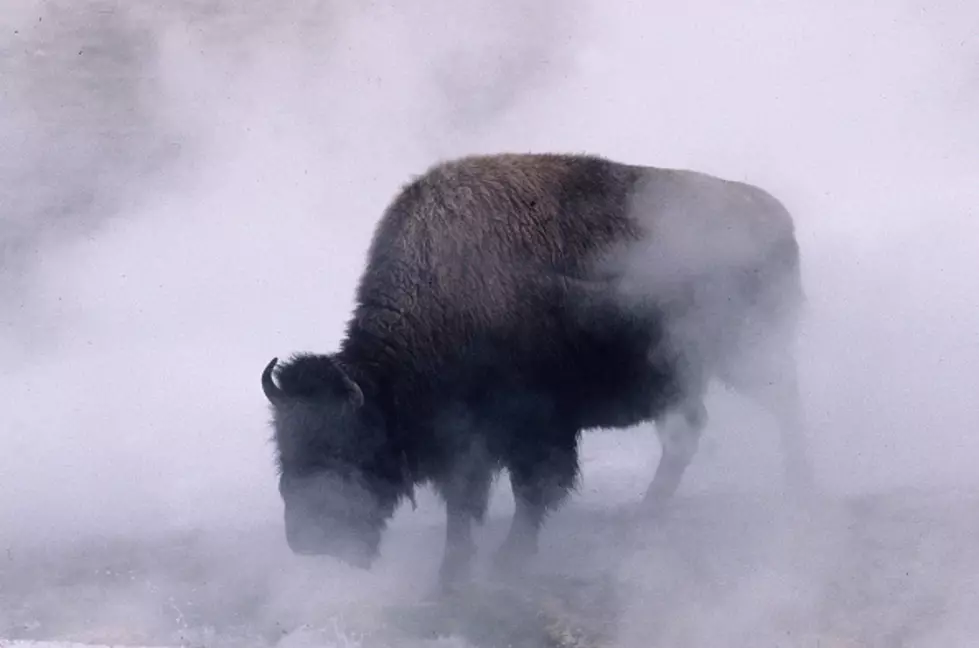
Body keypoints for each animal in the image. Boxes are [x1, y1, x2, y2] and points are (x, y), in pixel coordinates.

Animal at [258, 151, 812, 592]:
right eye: (283, 448)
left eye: (343, 449)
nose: (308, 541)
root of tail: (778, 218)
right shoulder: (469, 443)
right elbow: (464, 505)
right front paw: (454, 571)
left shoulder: (533, 433)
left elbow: (530, 493)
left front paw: (505, 562)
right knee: (689, 436)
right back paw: (648, 513)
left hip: (744, 355)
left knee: (784, 403)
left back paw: (797, 487)